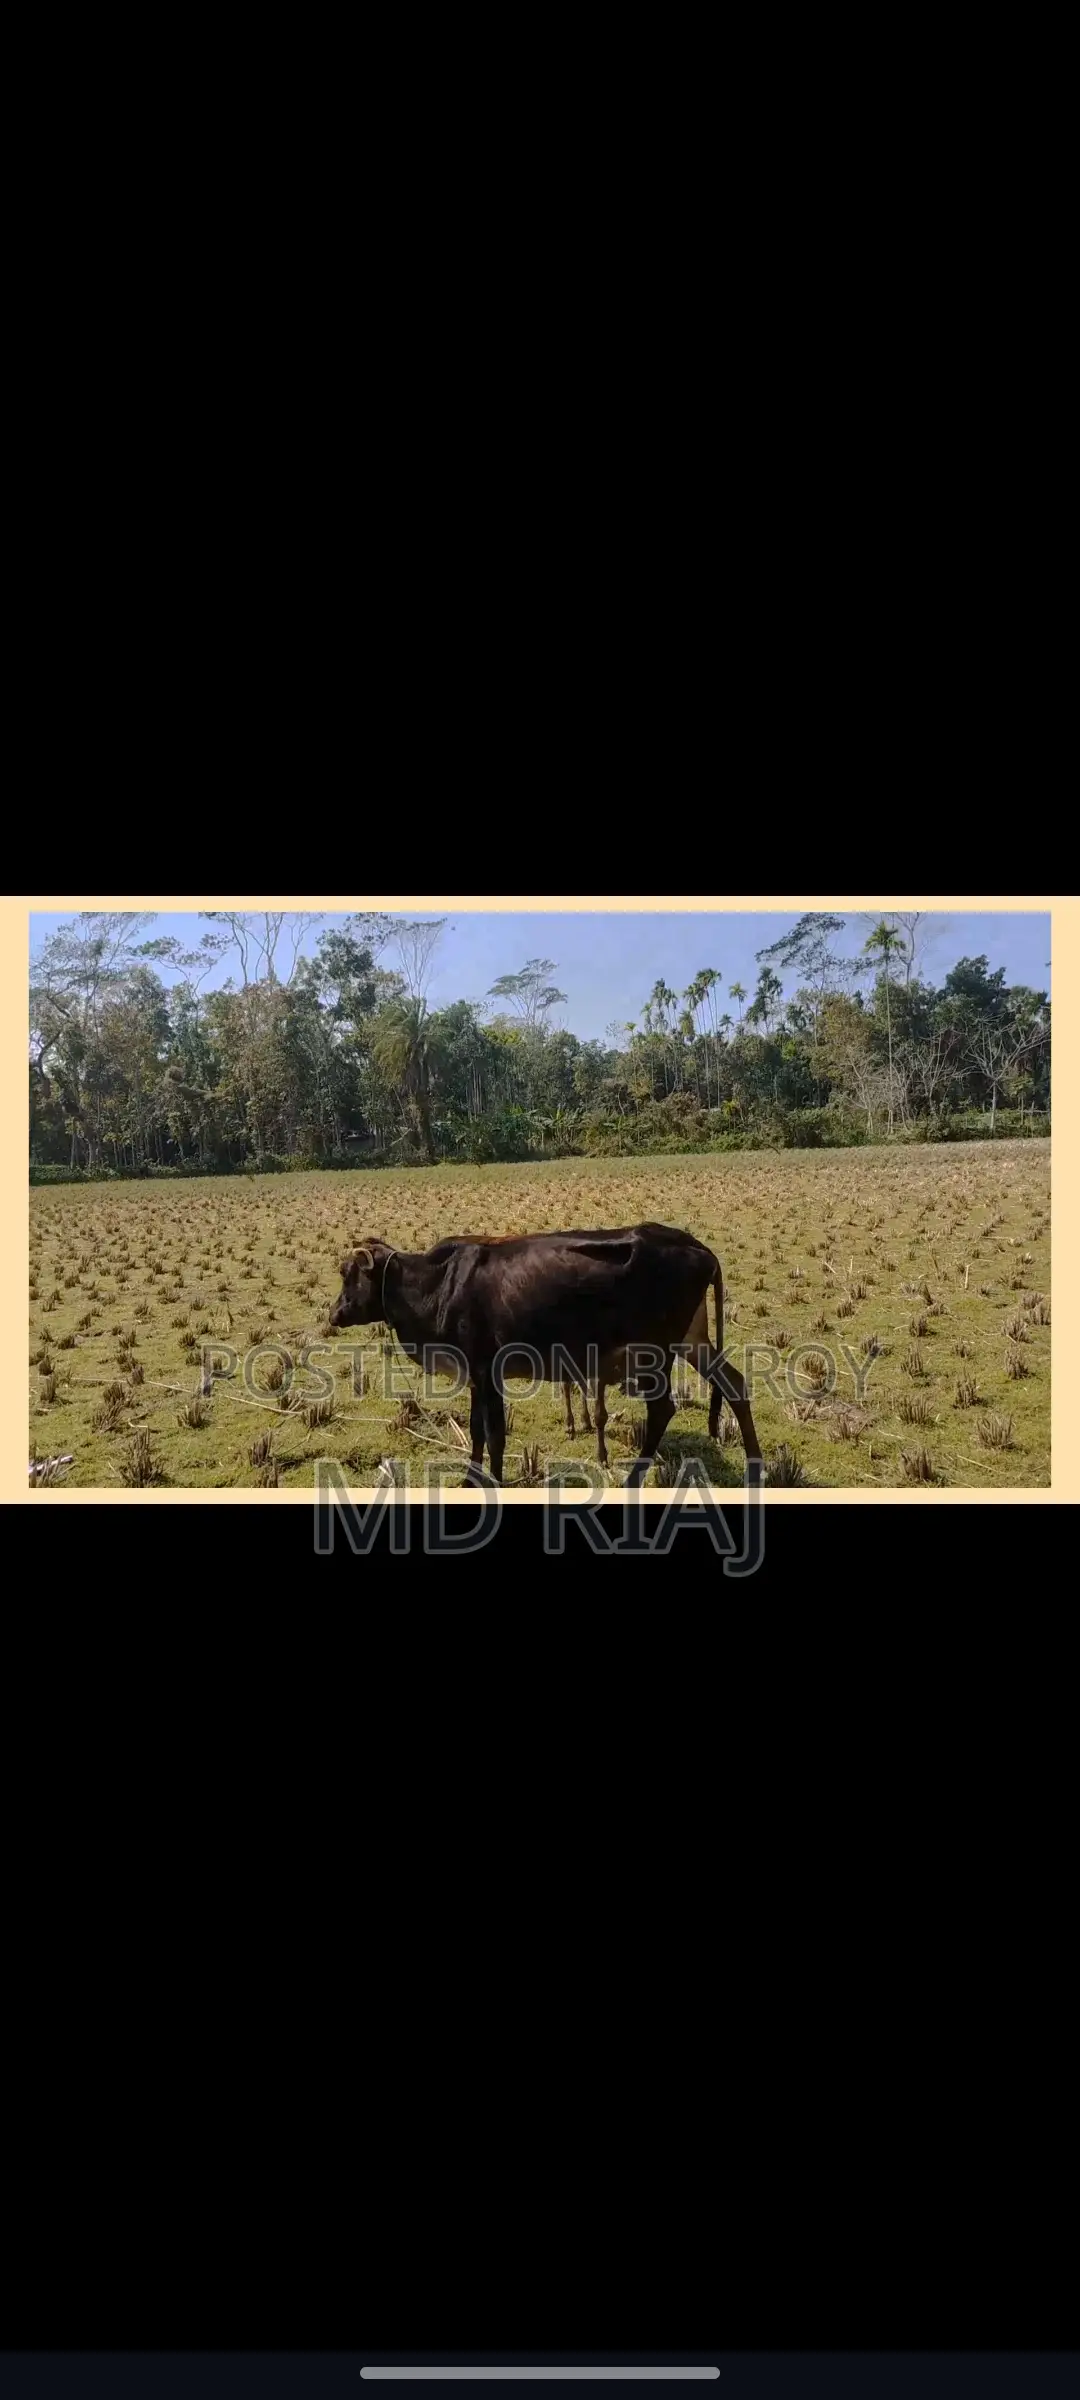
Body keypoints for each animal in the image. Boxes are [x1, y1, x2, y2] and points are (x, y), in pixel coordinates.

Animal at [328, 1222, 761, 1486]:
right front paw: (470, 1478)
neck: (439, 1284)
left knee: (662, 1410)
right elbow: (476, 1430)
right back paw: (754, 1467)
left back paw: (633, 1480)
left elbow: (496, 1435)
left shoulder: (487, 1370)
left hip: (655, 1353)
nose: (334, 1314)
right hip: (692, 1341)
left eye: (349, 1274)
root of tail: (698, 1248)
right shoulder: (475, 1376)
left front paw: (495, 1481)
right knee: (735, 1385)